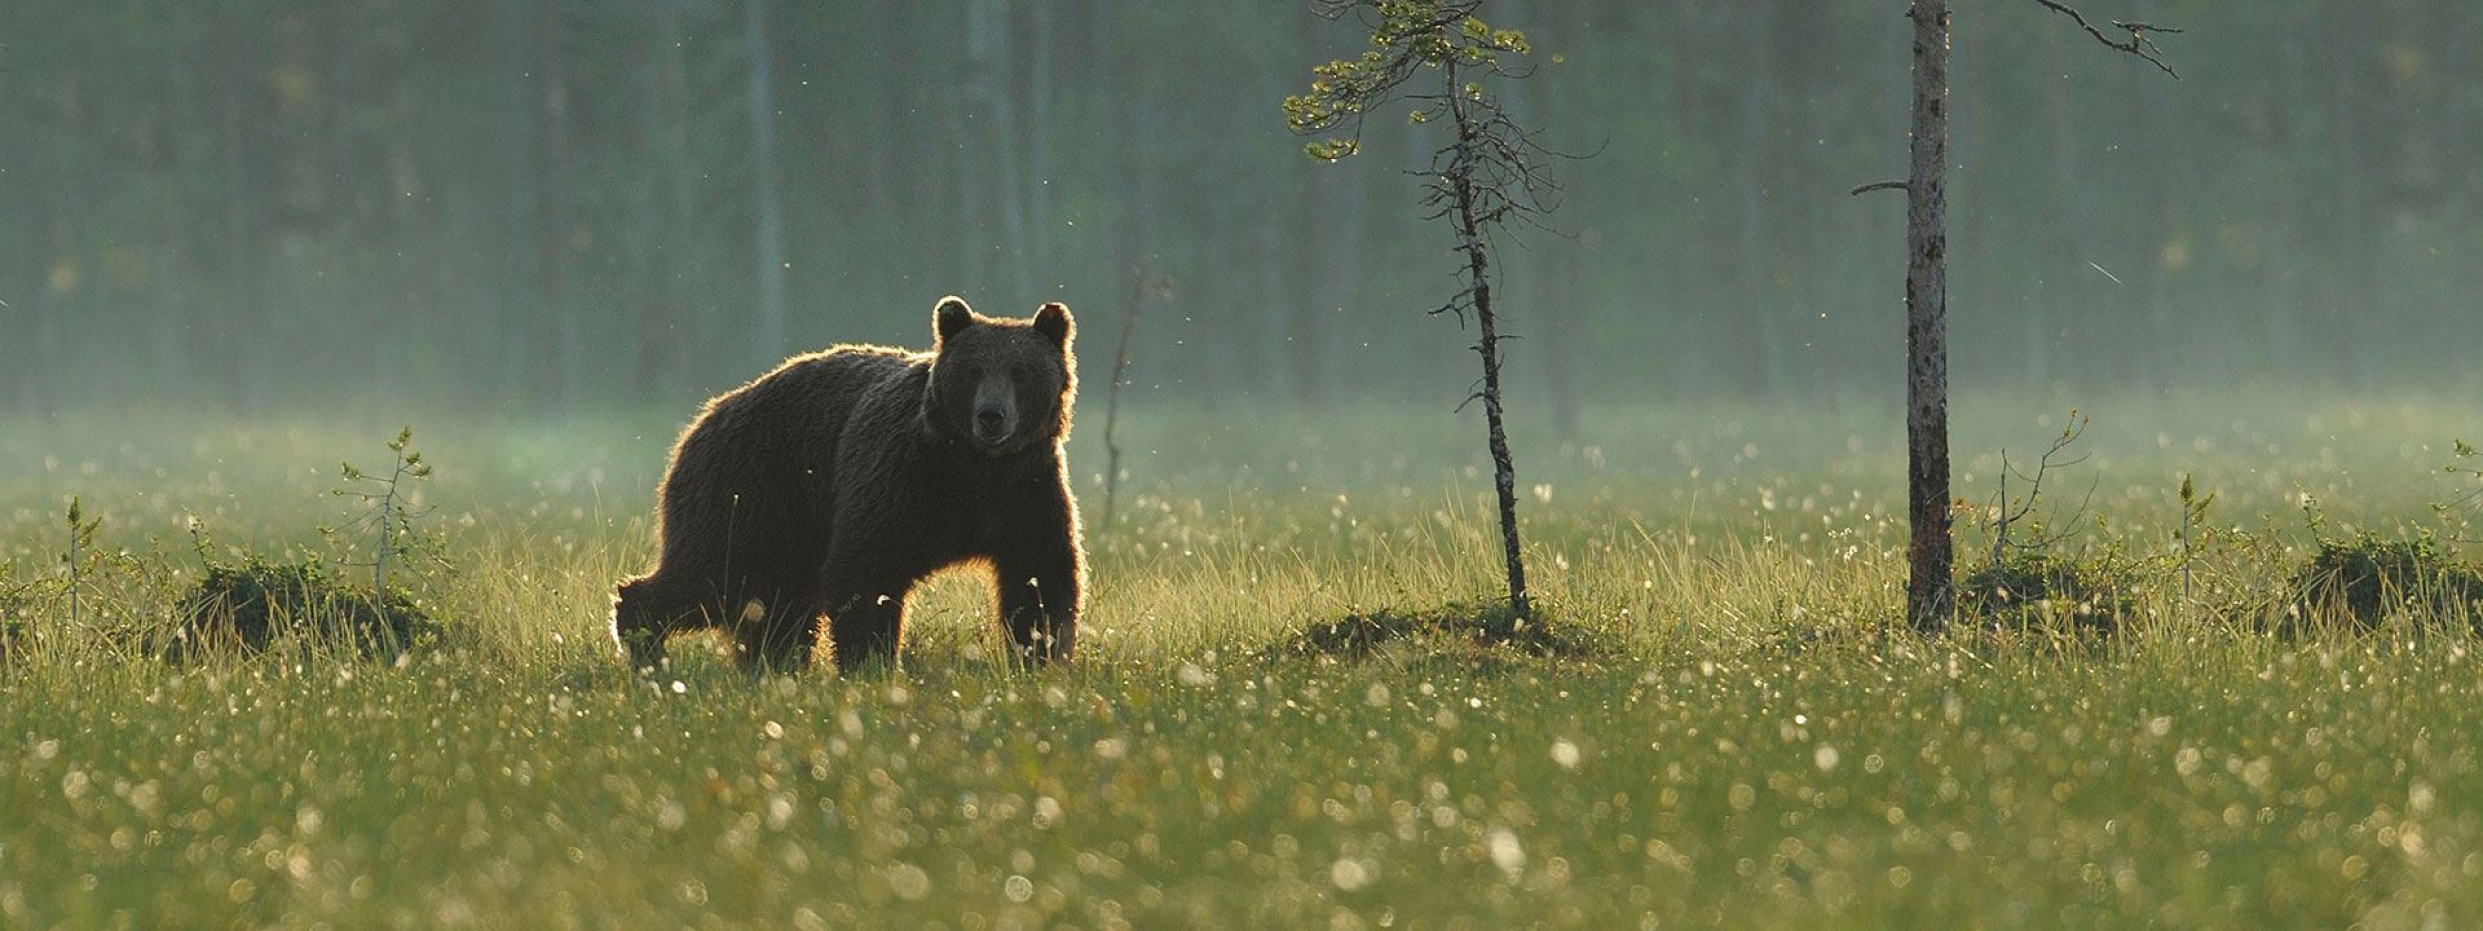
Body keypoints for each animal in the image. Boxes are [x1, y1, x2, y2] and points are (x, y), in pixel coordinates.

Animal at [611, 296, 1084, 674]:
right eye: (973, 370)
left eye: (1020, 371)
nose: (991, 415)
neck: (972, 466)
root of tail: (700, 420)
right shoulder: (901, 481)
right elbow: (866, 571)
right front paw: (871, 664)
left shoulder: (1024, 490)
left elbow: (1040, 578)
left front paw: (1041, 658)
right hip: (748, 494)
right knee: (709, 575)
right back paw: (647, 648)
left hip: (789, 530)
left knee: (776, 610)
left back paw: (773, 667)